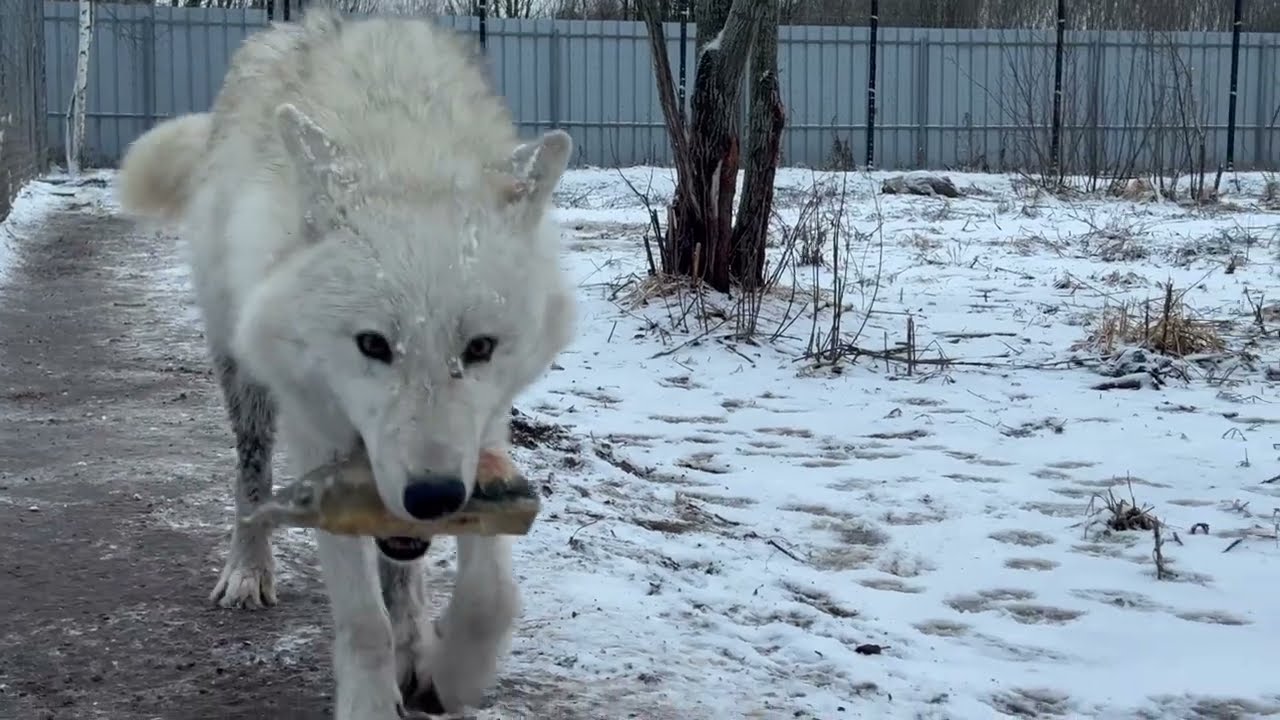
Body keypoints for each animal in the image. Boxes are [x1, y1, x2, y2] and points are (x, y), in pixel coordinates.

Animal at [115, 7, 576, 717]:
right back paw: (248, 570)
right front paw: (371, 698)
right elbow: (362, 620)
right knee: (251, 481)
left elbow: (491, 593)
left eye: (479, 349)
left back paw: (415, 645)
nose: (434, 497)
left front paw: (455, 670)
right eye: (372, 345)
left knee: (404, 573)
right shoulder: (315, 441)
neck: (405, 145)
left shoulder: (485, 433)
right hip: (244, 383)